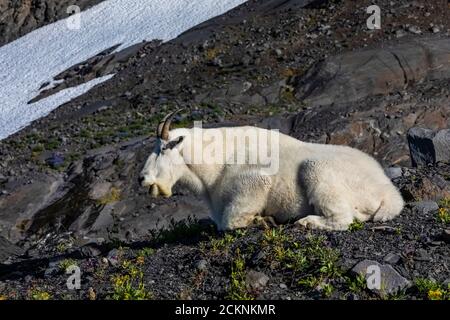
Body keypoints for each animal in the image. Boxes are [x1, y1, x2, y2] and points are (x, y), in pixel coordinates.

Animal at [139, 110, 402, 230]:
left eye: (163, 148)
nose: (142, 178)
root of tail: (389, 193)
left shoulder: (253, 185)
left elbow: (230, 222)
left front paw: (262, 220)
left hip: (316, 170)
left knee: (342, 218)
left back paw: (307, 221)